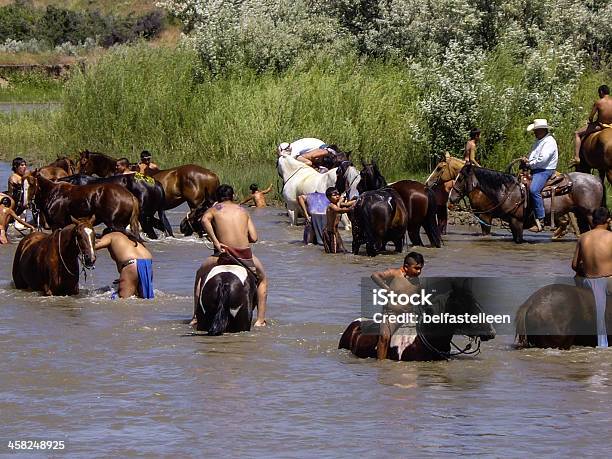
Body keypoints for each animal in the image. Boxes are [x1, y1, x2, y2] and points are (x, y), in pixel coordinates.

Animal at [448, 164, 604, 244]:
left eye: (461, 178)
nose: (451, 198)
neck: (508, 191)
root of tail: (596, 180)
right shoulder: (511, 222)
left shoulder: (515, 220)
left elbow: (518, 240)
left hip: (590, 214)